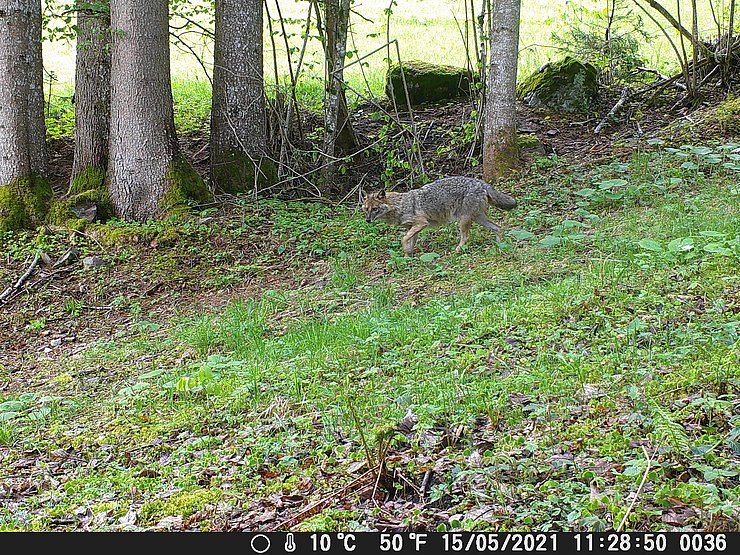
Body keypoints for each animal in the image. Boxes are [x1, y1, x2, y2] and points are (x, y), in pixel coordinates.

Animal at [362, 177, 516, 255]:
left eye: (375, 209)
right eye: (365, 210)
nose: (367, 221)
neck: (400, 205)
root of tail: (481, 182)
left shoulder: (421, 223)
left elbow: (403, 239)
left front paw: (406, 252)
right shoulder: (413, 228)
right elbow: (410, 241)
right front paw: (408, 256)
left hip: (463, 220)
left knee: (466, 237)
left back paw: (457, 251)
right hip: (478, 218)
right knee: (498, 227)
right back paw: (500, 246)